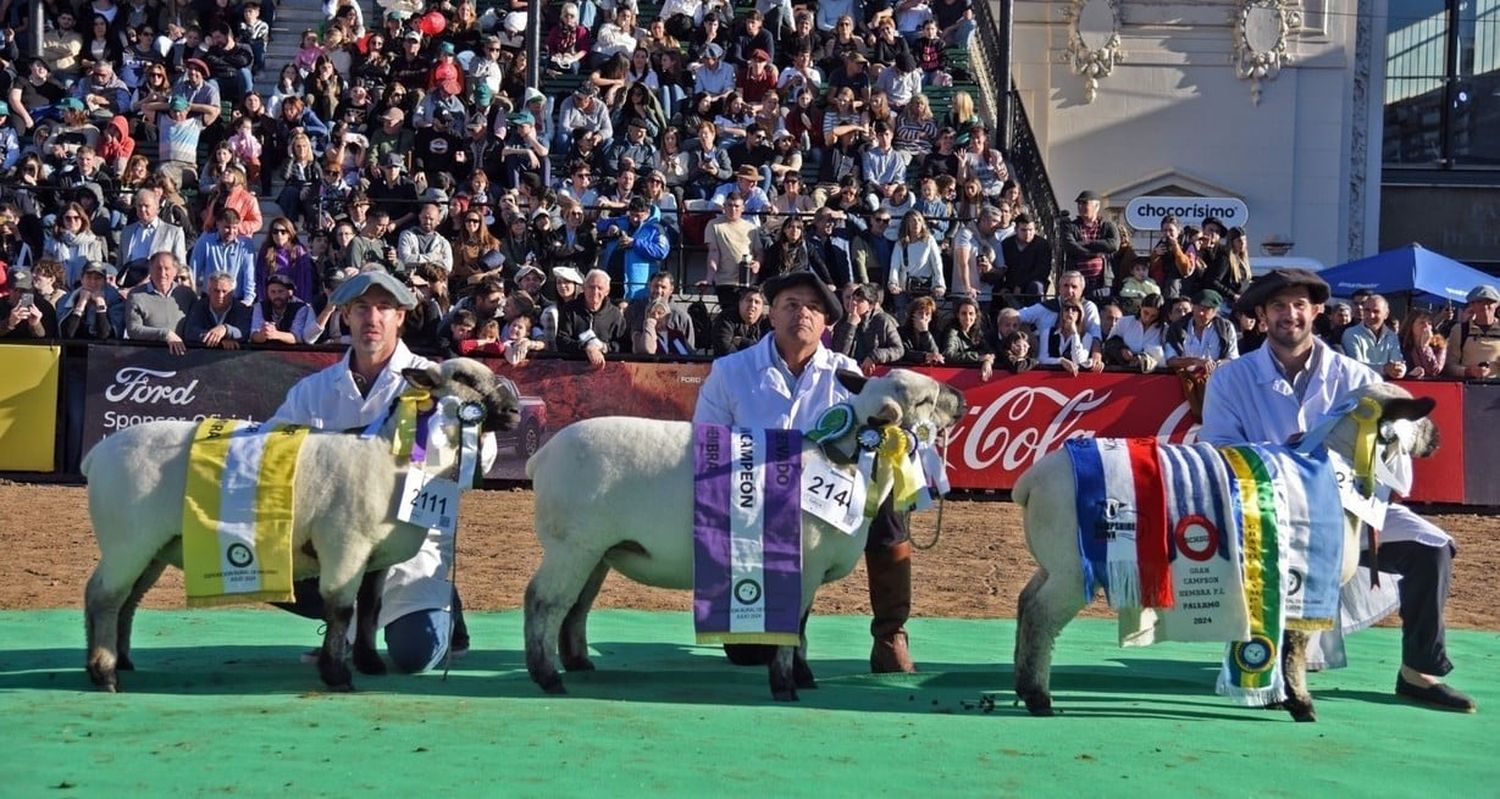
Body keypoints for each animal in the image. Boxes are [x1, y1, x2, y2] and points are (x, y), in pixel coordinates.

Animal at [80, 358, 522, 689]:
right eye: (464, 378)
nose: (516, 412)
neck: (391, 452)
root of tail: (97, 454)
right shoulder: (346, 547)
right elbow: (341, 610)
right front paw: (337, 675)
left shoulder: (375, 559)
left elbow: (370, 608)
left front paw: (369, 663)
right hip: (128, 540)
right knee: (104, 596)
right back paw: (104, 673)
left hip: (153, 547)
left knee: (127, 600)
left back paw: (121, 661)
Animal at [522, 367, 966, 698]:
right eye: (925, 401)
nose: (961, 397)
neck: (848, 458)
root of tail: (540, 456)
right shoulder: (802, 564)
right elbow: (794, 627)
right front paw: (786, 686)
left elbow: (801, 627)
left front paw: (803, 677)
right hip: (572, 544)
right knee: (544, 601)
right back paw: (547, 677)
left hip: (597, 552)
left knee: (576, 607)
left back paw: (579, 663)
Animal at [1014, 383, 1434, 719]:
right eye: (1417, 416)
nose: (1437, 437)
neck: (1336, 465)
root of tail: (1030, 481)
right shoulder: (1309, 577)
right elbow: (1295, 646)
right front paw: (1301, 704)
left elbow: (1281, 642)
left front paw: (1276, 696)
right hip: (1072, 569)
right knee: (1041, 616)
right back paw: (1038, 698)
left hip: (1053, 564)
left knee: (1025, 601)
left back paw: (1022, 684)